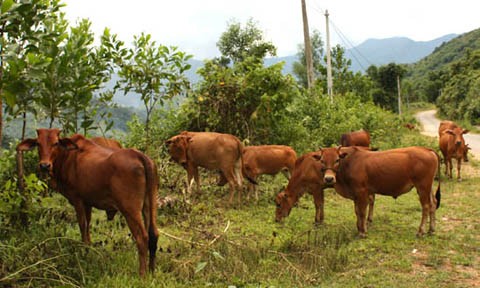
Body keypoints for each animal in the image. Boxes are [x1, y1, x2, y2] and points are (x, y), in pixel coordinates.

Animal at [17, 129, 159, 276]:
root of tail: (140, 156)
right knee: (154, 234)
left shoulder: (77, 199)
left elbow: (82, 225)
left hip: (130, 209)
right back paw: (152, 271)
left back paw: (142, 274)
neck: (66, 156)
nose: (44, 165)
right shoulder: (88, 202)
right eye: (38, 143)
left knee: (142, 237)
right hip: (150, 203)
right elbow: (88, 225)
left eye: (55, 143)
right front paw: (89, 250)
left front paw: (83, 252)